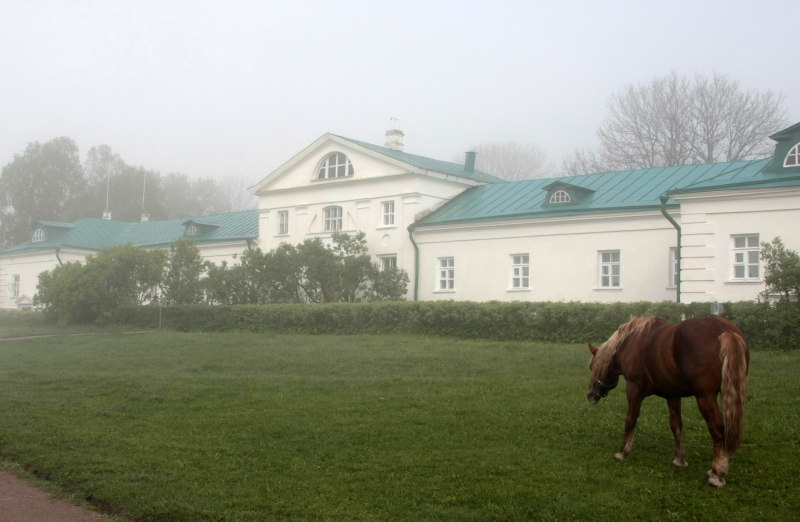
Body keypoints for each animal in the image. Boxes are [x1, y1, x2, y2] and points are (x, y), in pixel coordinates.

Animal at [588, 314, 752, 486]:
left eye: (592, 367)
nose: (590, 395)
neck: (631, 342)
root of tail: (724, 330)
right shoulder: (672, 394)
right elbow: (676, 425)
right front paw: (680, 459)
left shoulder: (634, 388)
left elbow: (630, 420)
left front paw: (623, 452)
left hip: (705, 397)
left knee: (717, 427)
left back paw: (716, 472)